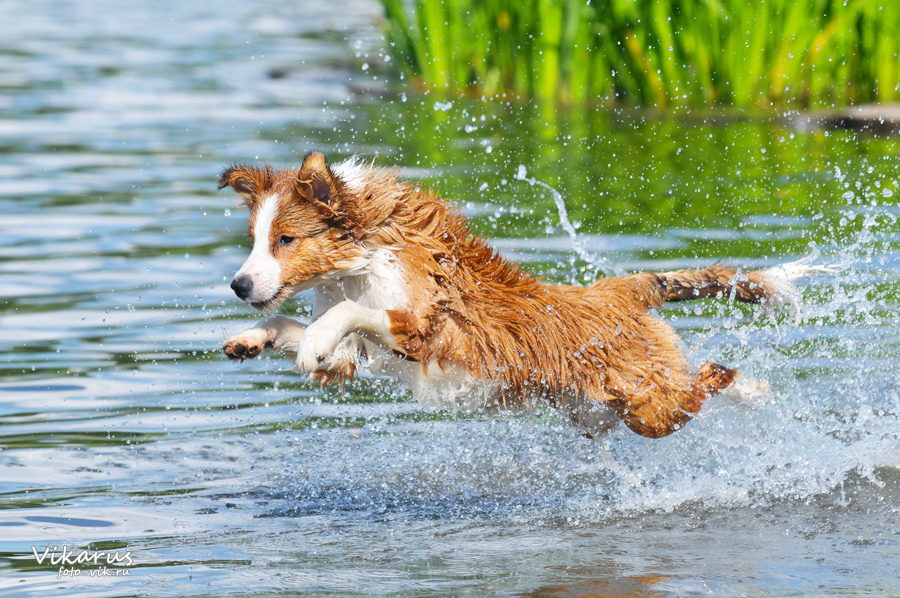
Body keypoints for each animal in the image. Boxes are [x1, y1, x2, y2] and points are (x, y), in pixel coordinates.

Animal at [221, 152, 828, 438]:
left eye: (286, 239)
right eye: (253, 237)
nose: (238, 284)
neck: (368, 255)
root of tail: (619, 290)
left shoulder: (428, 325)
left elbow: (351, 314)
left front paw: (310, 340)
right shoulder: (356, 353)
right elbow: (306, 331)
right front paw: (254, 338)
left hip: (645, 404)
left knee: (701, 383)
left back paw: (736, 381)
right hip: (596, 412)